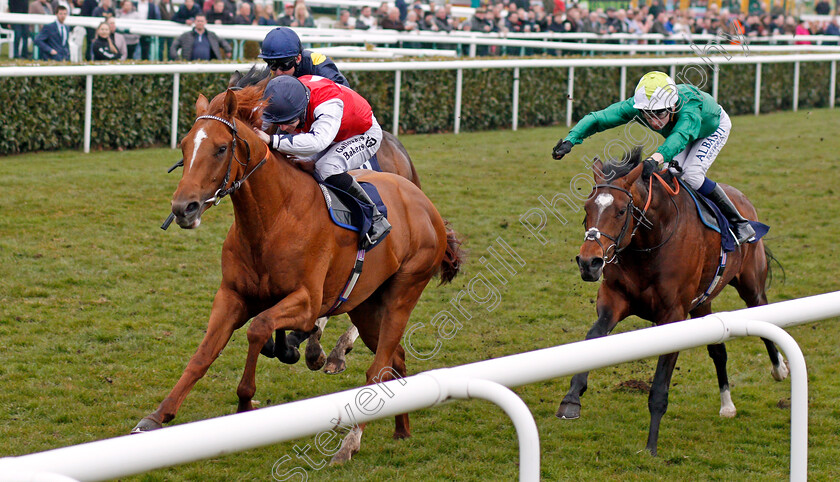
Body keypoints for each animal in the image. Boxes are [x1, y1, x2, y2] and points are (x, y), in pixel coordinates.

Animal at [556, 150, 788, 456]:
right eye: (586, 209)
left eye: (621, 211)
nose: (588, 263)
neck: (648, 244)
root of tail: (742, 199)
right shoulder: (614, 299)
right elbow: (593, 336)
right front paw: (572, 398)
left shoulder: (673, 315)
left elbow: (659, 387)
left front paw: (651, 446)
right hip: (701, 303)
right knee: (718, 351)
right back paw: (727, 405)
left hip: (751, 286)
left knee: (762, 315)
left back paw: (779, 368)